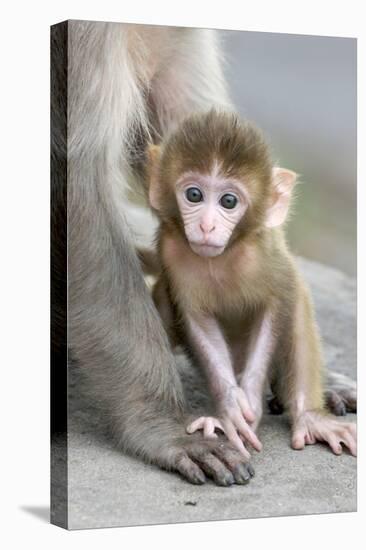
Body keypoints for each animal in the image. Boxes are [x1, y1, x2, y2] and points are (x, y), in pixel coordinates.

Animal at [145, 111, 354, 462]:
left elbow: (279, 304)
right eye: (193, 195)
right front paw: (230, 411)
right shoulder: (173, 253)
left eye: (229, 201)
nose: (206, 226)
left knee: (298, 304)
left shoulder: (265, 254)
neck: (224, 255)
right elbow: (197, 320)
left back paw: (310, 416)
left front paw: (251, 403)